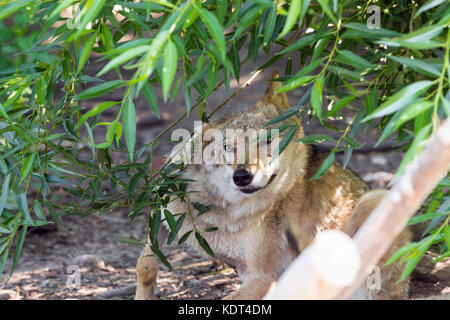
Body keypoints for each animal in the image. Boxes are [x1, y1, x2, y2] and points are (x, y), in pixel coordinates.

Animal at [134, 70, 412, 300]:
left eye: (267, 140)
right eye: (228, 148)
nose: (242, 176)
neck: (219, 209)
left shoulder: (261, 276)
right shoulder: (160, 211)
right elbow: (144, 266)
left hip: (374, 204)